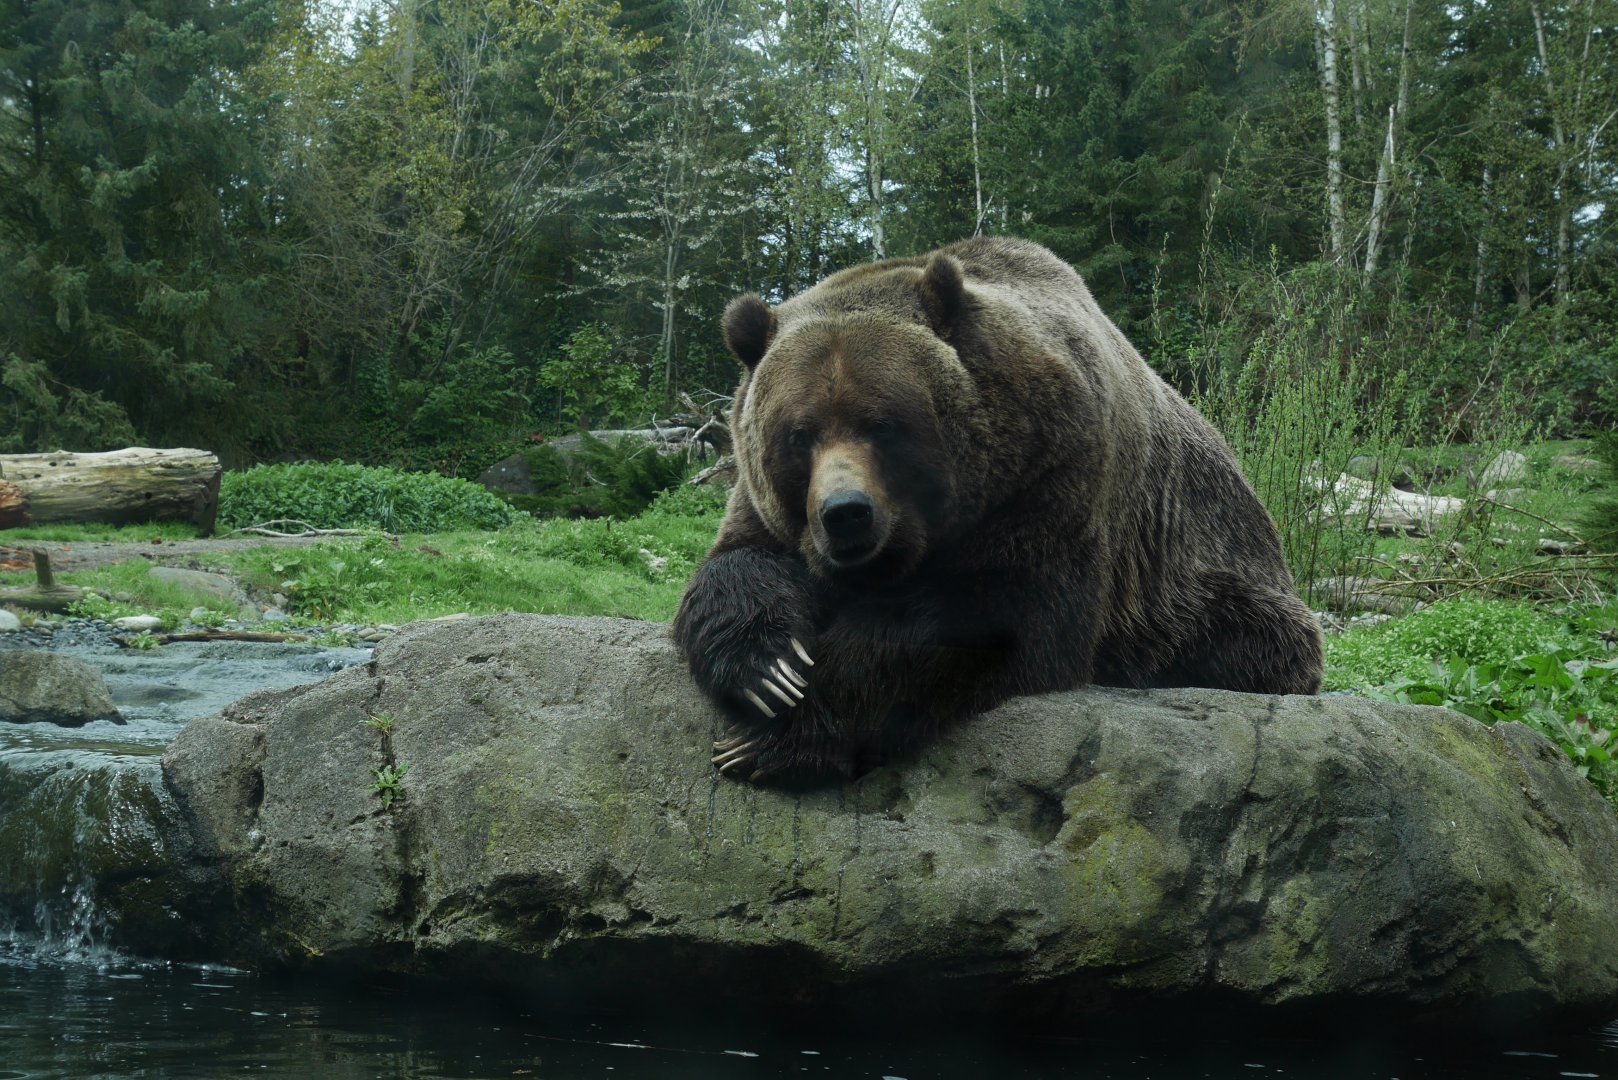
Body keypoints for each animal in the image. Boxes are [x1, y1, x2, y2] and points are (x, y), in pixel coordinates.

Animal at [672, 237, 1322, 783]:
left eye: (882, 424)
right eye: (800, 435)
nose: (846, 513)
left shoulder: (1053, 478)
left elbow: (983, 620)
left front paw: (773, 738)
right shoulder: (766, 504)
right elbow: (737, 566)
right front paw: (769, 670)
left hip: (1207, 582)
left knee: (1235, 641)